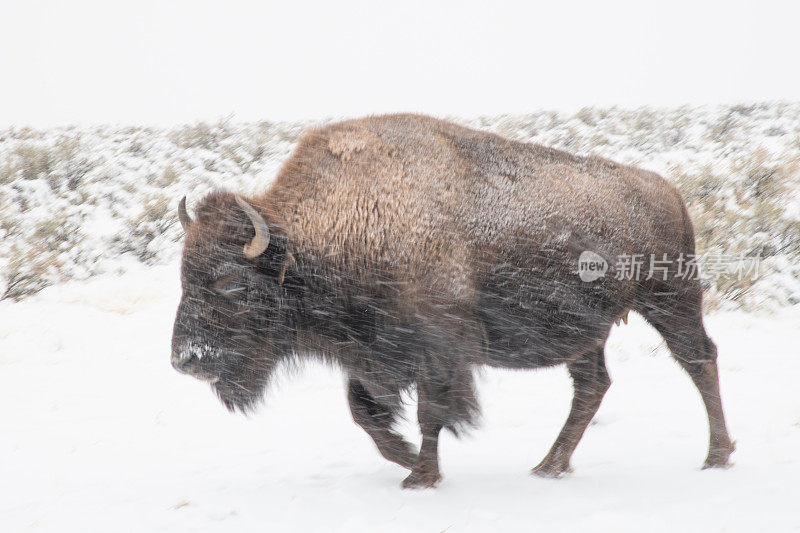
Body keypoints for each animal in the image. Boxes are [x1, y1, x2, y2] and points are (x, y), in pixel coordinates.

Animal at [172, 112, 736, 486]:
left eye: (231, 283)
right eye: (182, 277)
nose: (185, 361)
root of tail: (668, 190)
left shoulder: (436, 352)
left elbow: (430, 413)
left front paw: (420, 475)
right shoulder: (368, 354)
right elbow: (365, 414)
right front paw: (405, 459)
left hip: (670, 299)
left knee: (698, 359)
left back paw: (716, 456)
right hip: (588, 332)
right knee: (593, 384)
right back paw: (549, 466)